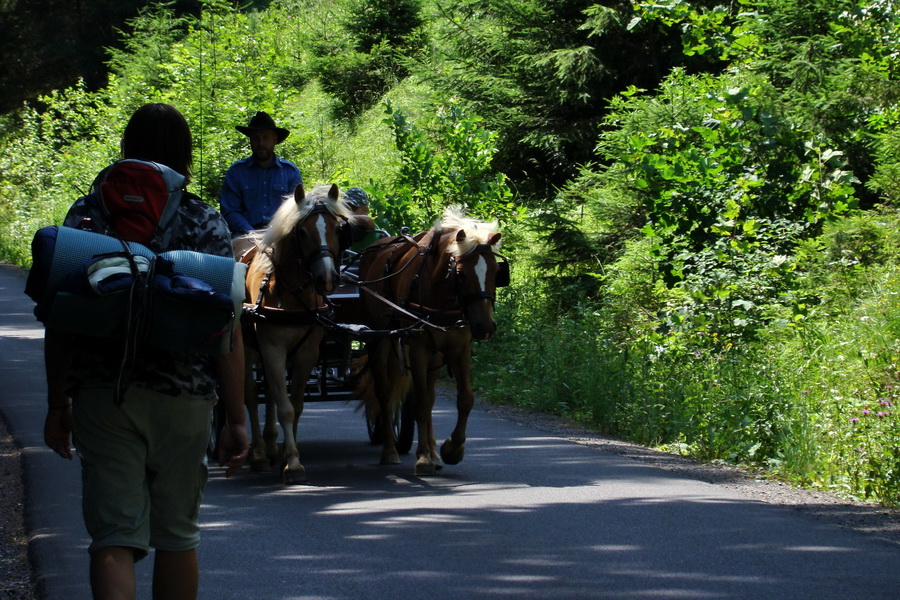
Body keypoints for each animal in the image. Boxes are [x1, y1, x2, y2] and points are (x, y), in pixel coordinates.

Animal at [239, 183, 362, 482]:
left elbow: (295, 405)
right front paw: (293, 464)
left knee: (270, 392)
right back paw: (259, 453)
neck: (292, 293)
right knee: (251, 396)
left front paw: (287, 454)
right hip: (247, 349)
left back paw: (272, 446)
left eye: (337, 229)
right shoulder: (272, 349)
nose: (327, 278)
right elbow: (284, 408)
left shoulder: (306, 353)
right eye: (302, 232)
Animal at [356, 204, 506, 476]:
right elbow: (422, 402)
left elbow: (464, 398)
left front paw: (451, 449)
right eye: (460, 273)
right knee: (385, 393)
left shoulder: (459, 348)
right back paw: (390, 451)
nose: (485, 327)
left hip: (435, 356)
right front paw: (424, 458)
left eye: (497, 272)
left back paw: (434, 453)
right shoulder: (419, 347)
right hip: (378, 338)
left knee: (430, 395)